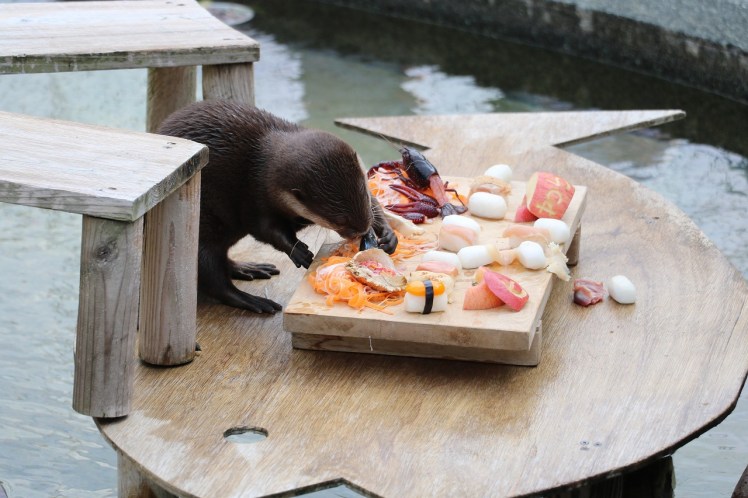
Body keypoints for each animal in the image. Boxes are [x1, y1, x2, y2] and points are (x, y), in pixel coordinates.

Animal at [158, 99, 397, 313]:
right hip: (197, 236)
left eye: (364, 194)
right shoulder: (256, 196)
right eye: (340, 220)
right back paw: (253, 300)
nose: (363, 231)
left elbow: (377, 206)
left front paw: (387, 235)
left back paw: (248, 268)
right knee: (214, 279)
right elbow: (265, 230)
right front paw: (298, 251)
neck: (261, 167)